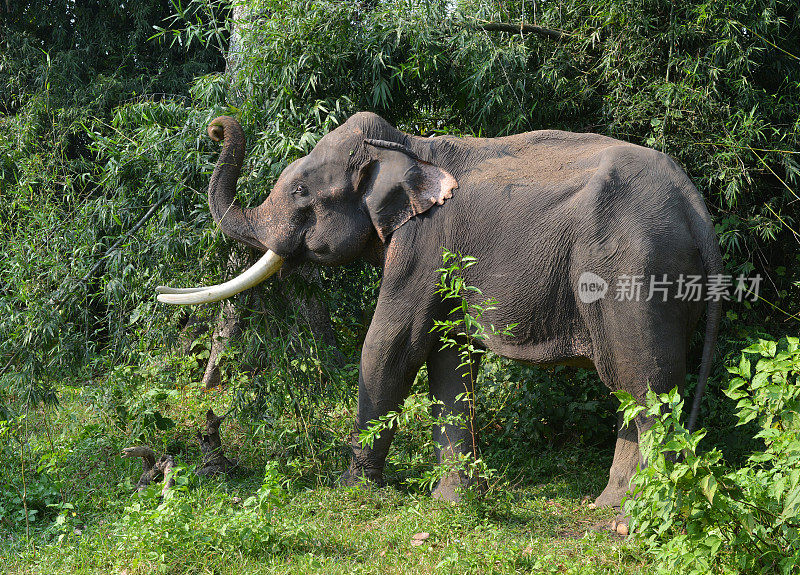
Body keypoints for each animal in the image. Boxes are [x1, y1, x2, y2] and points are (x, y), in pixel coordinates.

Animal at [158, 112, 724, 532]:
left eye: (300, 191)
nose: (216, 127)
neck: (407, 145)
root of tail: (696, 207)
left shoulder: (423, 246)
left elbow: (390, 346)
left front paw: (353, 488)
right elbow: (448, 359)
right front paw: (453, 502)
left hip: (635, 276)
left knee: (645, 385)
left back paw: (636, 519)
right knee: (633, 389)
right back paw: (610, 506)